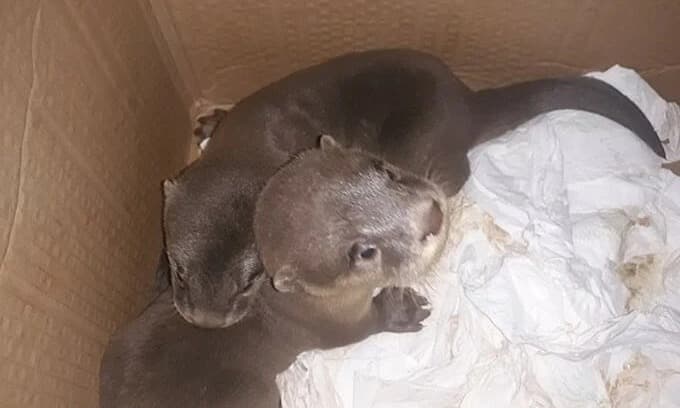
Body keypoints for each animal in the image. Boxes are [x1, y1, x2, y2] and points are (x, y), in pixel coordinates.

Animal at [99, 136, 446, 408]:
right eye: (364, 252)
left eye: (385, 170)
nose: (433, 216)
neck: (294, 301)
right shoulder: (326, 324)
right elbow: (364, 326)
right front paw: (400, 309)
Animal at [158, 48, 666, 329]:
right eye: (179, 270)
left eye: (250, 281)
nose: (207, 321)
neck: (256, 138)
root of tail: (468, 103)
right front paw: (208, 121)